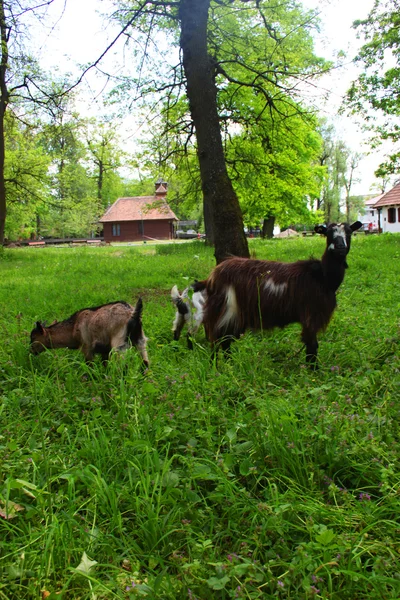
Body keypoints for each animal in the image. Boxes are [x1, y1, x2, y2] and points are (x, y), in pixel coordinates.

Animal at [197, 221, 362, 366]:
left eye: (349, 232)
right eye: (328, 233)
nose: (340, 247)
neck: (323, 277)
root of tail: (212, 277)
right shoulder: (311, 314)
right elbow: (312, 345)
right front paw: (313, 371)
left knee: (225, 341)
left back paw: (228, 365)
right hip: (226, 309)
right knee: (217, 339)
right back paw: (216, 368)